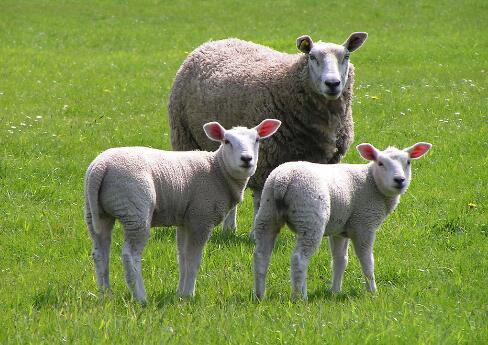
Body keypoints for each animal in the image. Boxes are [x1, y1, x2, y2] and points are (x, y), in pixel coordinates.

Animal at [85, 118, 282, 300]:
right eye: (226, 141)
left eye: (257, 140)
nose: (247, 159)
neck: (217, 170)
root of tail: (101, 166)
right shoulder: (201, 218)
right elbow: (193, 259)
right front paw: (189, 295)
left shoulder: (186, 220)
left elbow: (182, 257)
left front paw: (180, 293)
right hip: (135, 209)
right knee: (130, 255)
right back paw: (141, 297)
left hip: (96, 213)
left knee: (100, 252)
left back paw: (106, 294)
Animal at [168, 32, 366, 234]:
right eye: (312, 57)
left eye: (346, 56)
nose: (332, 84)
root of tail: (215, 41)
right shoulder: (264, 160)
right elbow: (260, 200)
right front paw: (256, 234)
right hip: (185, 136)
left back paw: (229, 229)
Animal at [252, 140, 430, 298]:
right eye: (380, 163)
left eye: (408, 162)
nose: (399, 180)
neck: (372, 183)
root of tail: (283, 180)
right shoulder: (364, 225)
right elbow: (367, 261)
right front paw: (372, 292)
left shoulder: (339, 230)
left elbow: (340, 261)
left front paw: (335, 291)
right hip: (310, 217)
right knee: (300, 259)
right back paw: (299, 297)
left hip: (267, 213)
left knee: (261, 255)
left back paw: (260, 295)